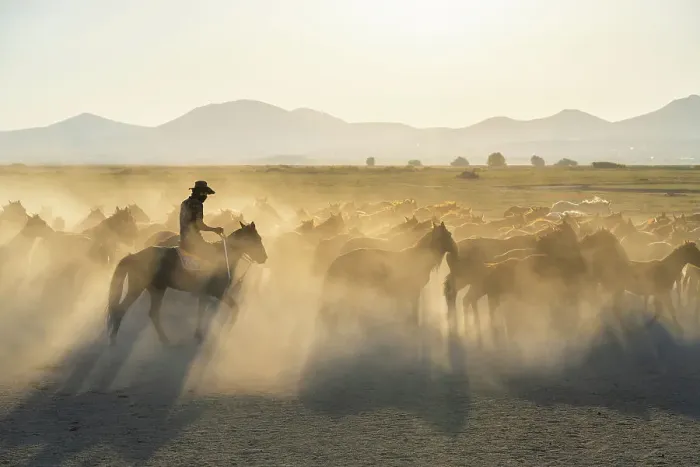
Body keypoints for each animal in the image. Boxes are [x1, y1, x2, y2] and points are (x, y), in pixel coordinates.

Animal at [106, 221, 267, 346]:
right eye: (256, 239)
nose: (264, 258)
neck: (224, 255)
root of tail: (133, 256)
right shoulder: (218, 293)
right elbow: (234, 308)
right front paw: (228, 328)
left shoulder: (204, 294)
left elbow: (201, 311)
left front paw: (198, 334)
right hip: (142, 289)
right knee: (123, 309)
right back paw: (114, 342)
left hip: (156, 289)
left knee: (152, 313)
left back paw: (164, 340)